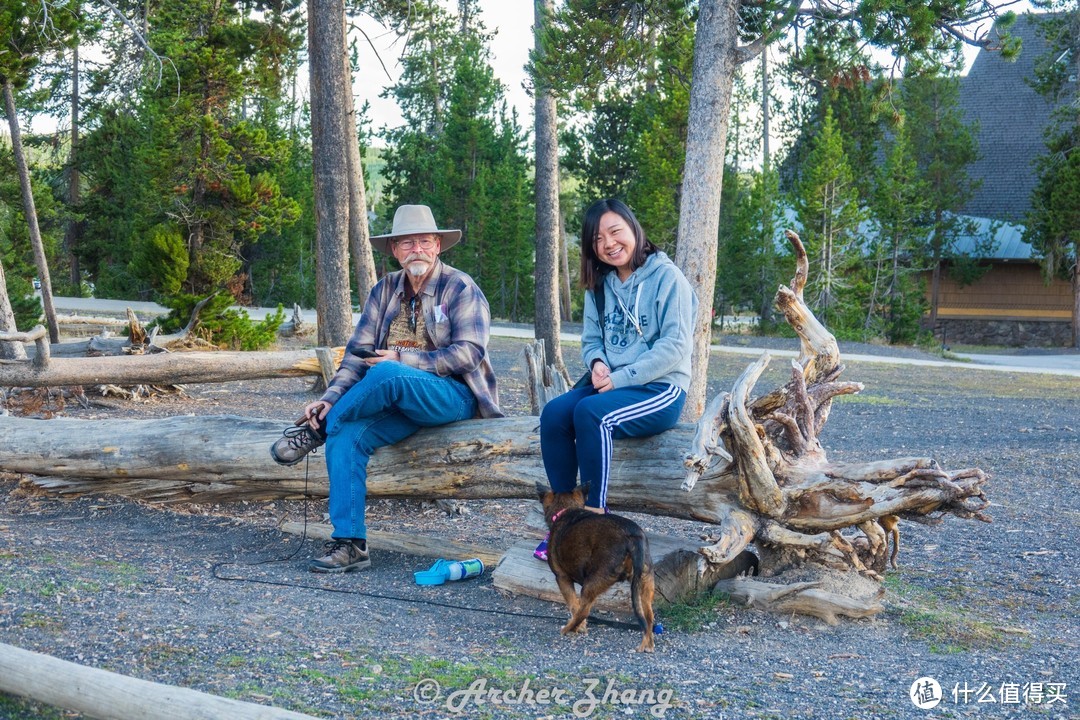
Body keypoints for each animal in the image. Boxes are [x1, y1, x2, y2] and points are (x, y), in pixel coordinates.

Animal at [535, 483, 652, 651]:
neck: (566, 509)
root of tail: (632, 534)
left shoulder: (562, 578)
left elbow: (574, 606)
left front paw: (580, 627)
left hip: (593, 582)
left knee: (584, 611)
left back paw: (567, 629)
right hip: (645, 582)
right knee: (649, 619)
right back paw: (648, 644)